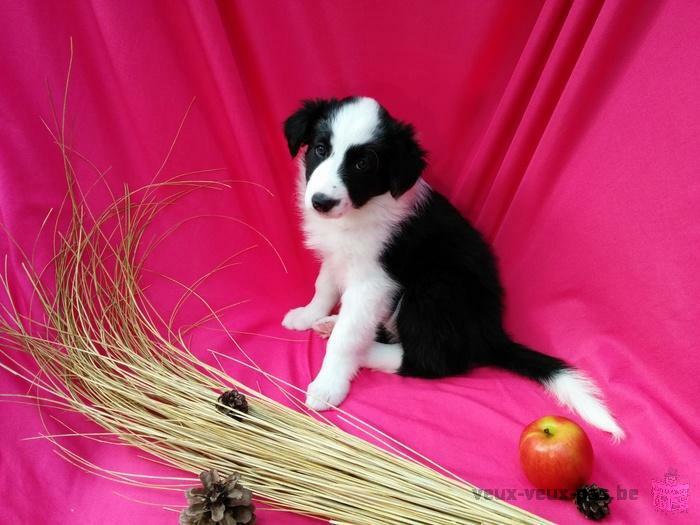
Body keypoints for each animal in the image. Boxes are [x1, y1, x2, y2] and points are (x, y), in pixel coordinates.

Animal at [278, 97, 624, 438]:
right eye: (320, 148)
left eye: (364, 164)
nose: (321, 202)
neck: (363, 209)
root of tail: (492, 334)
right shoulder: (336, 255)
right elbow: (324, 286)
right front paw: (307, 314)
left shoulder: (373, 283)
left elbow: (348, 337)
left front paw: (328, 385)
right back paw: (330, 323)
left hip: (434, 289)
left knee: (431, 359)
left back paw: (364, 351)